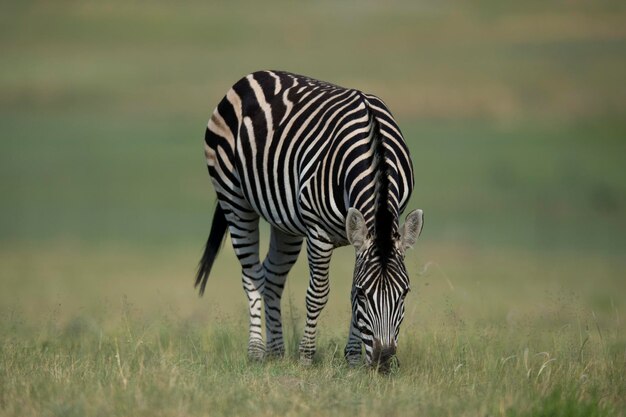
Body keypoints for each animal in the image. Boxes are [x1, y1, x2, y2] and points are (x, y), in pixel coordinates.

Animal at [193, 70, 422, 368]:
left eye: (405, 292)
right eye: (365, 294)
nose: (383, 360)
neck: (374, 152)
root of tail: (252, 76)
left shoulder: (361, 237)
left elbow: (347, 290)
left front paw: (352, 359)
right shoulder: (318, 233)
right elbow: (318, 294)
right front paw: (306, 356)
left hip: (285, 223)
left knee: (272, 276)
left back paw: (276, 351)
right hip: (234, 199)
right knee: (251, 274)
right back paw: (256, 351)